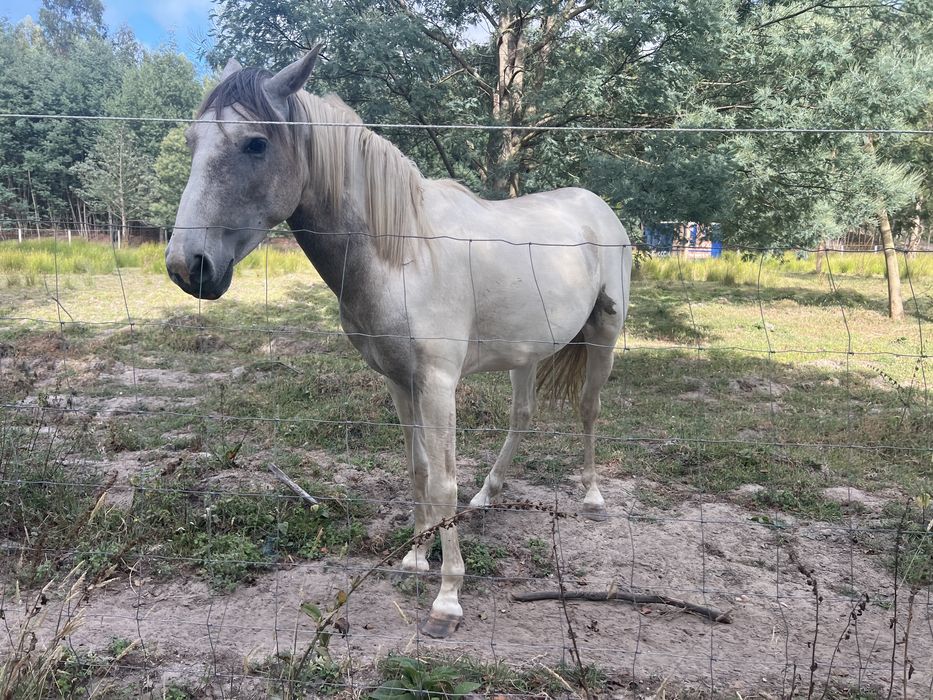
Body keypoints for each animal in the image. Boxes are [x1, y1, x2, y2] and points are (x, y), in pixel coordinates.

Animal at [164, 47, 632, 639]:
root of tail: (598, 208)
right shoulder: (398, 380)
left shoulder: (437, 383)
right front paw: (414, 559)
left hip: (604, 338)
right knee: (522, 417)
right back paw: (488, 496)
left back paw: (592, 498)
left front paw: (447, 600)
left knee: (589, 409)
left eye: (256, 143)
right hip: (526, 350)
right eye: (191, 141)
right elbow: (419, 470)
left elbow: (444, 482)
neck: (404, 253)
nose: (188, 266)